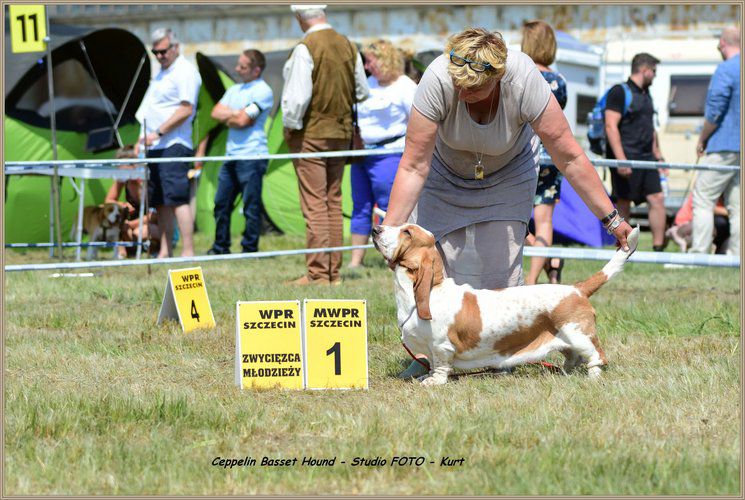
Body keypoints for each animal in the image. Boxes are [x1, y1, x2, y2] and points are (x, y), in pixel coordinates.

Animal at [372, 225, 640, 384]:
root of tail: (577, 289)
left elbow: (439, 366)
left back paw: (592, 377)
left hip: (579, 334)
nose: (376, 228)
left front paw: (432, 382)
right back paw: (565, 372)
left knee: (597, 356)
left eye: (407, 232)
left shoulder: (441, 347)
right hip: (568, 338)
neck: (430, 291)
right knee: (572, 357)